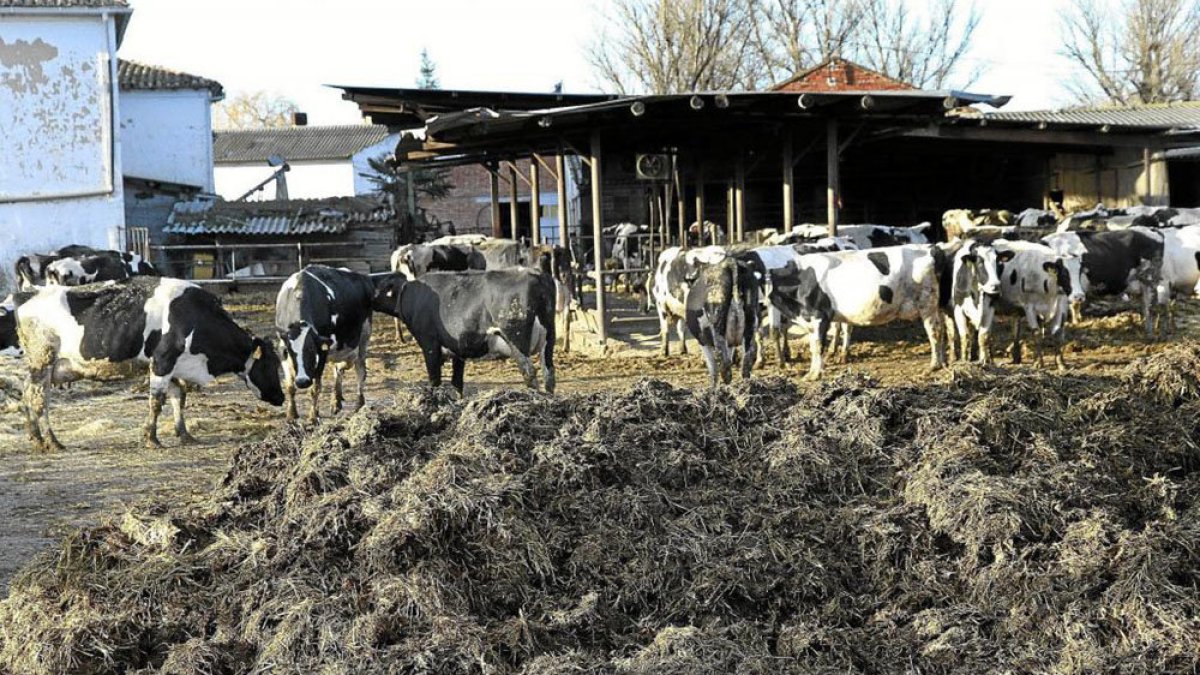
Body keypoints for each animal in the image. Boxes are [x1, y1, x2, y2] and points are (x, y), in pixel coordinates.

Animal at [13, 277, 284, 450]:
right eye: (270, 365)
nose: (281, 397)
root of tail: (28, 293)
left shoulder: (172, 366)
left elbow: (179, 396)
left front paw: (184, 434)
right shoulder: (163, 361)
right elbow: (156, 402)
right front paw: (151, 438)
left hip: (46, 368)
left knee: (26, 393)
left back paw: (36, 438)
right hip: (43, 360)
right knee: (38, 399)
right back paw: (52, 441)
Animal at [275, 265, 375, 423]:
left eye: (311, 349)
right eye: (289, 351)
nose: (302, 381)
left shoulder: (322, 350)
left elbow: (315, 387)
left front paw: (313, 417)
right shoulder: (282, 347)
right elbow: (290, 385)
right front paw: (291, 414)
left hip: (364, 336)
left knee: (360, 370)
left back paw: (359, 405)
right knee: (339, 369)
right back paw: (336, 401)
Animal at [372, 269, 556, 395]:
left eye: (380, 285)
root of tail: (535, 273)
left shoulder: (429, 343)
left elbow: (434, 379)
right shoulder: (457, 349)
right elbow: (457, 383)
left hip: (516, 340)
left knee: (529, 372)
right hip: (549, 340)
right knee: (548, 374)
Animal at [685, 256, 759, 386]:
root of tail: (730, 261)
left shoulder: (703, 340)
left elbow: (713, 368)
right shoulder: (730, 344)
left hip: (716, 322)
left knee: (724, 363)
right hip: (751, 320)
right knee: (747, 359)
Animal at [767, 245, 948, 380]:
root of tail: (931, 248)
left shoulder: (820, 316)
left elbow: (818, 346)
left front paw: (816, 374)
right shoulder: (809, 321)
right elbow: (813, 347)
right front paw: (810, 373)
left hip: (927, 303)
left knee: (934, 331)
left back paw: (934, 365)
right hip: (937, 306)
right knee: (944, 330)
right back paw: (944, 362)